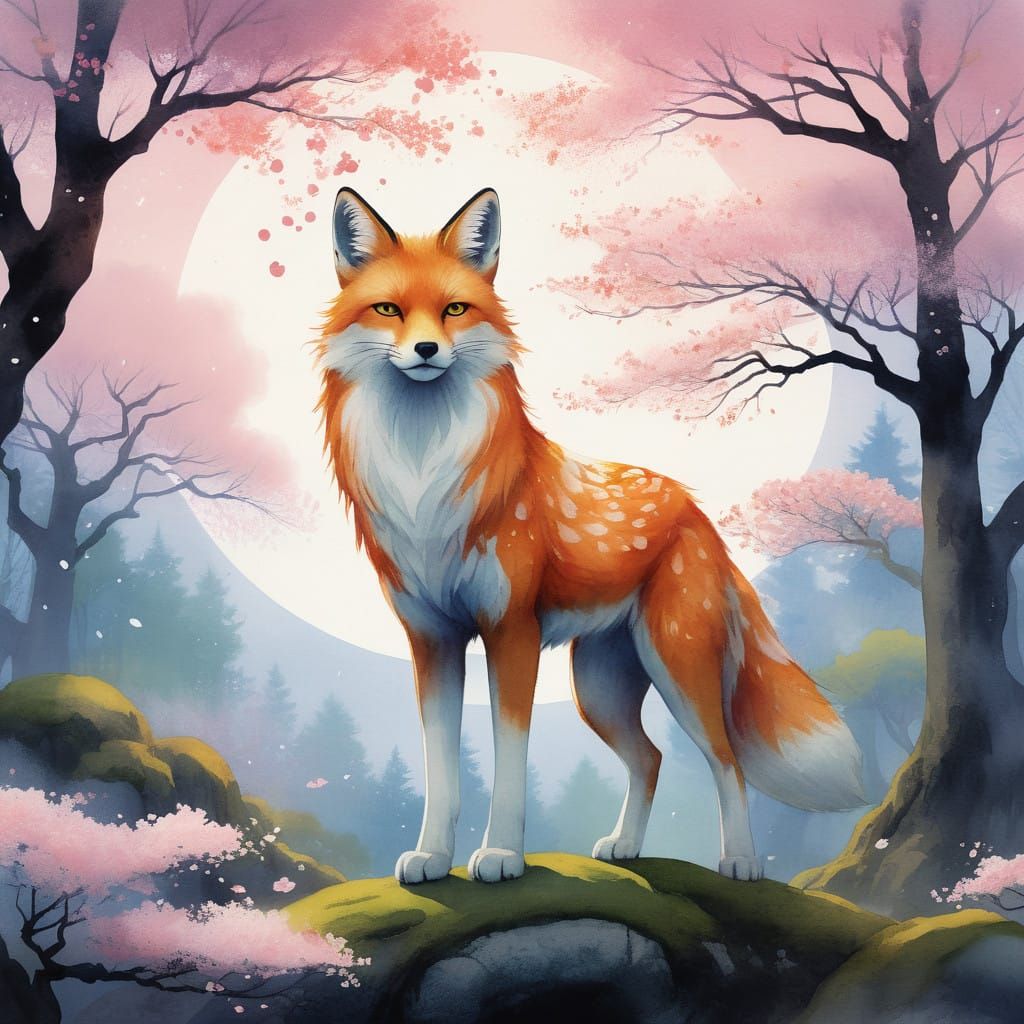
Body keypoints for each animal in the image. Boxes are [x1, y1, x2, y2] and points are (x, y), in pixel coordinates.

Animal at [315, 186, 864, 885]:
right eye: (388, 310)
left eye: (454, 309)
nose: (427, 351)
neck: (423, 476)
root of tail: (694, 508)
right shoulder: (432, 641)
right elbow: (441, 770)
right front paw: (434, 857)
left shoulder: (511, 633)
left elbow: (510, 763)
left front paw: (501, 855)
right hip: (599, 691)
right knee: (651, 759)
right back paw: (626, 846)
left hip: (679, 669)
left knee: (727, 761)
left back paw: (740, 860)